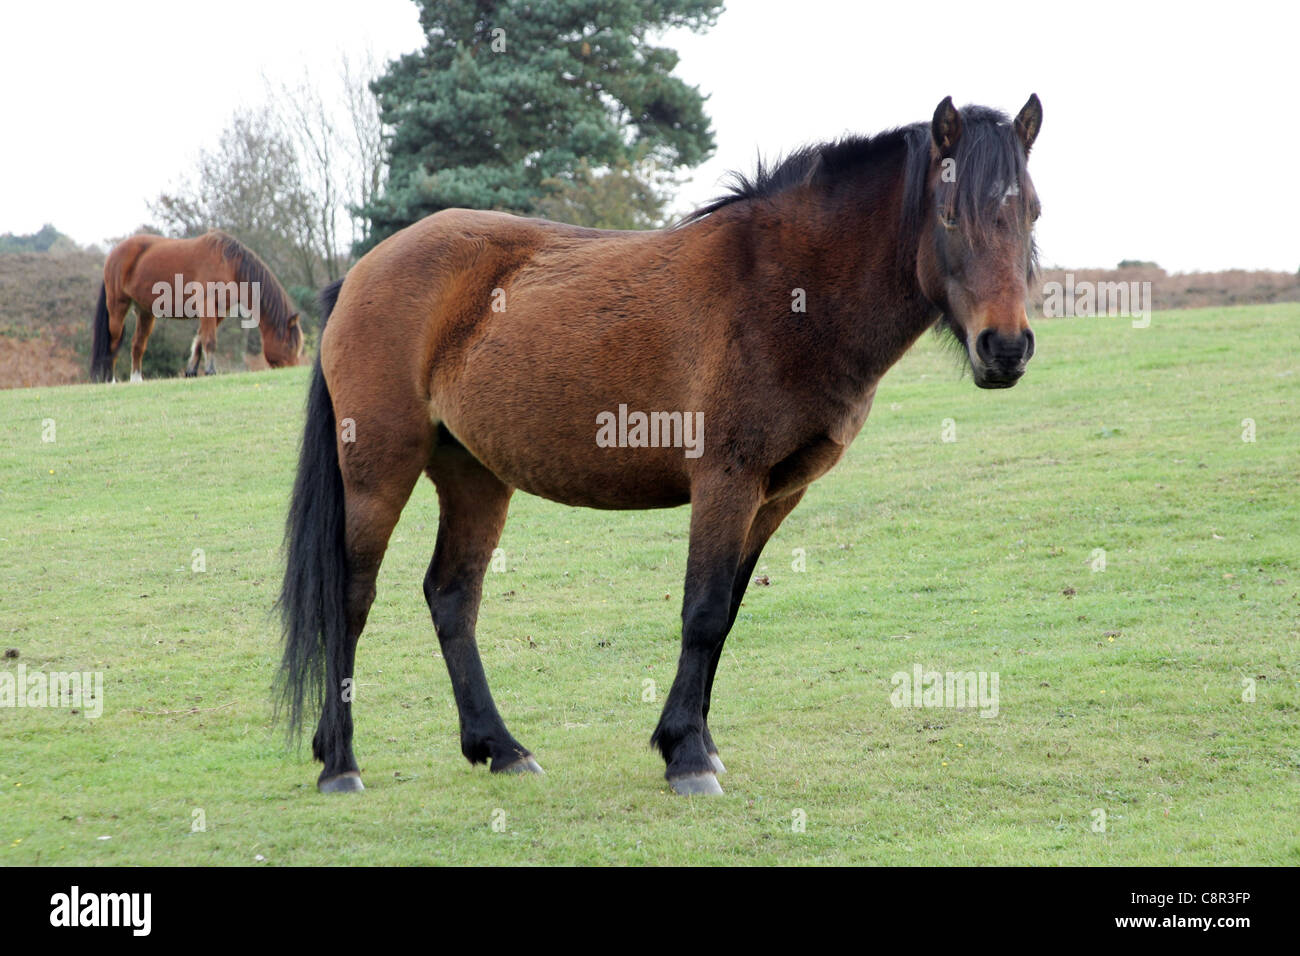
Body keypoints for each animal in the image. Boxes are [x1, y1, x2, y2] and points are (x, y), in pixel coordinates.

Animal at [90, 230, 305, 382]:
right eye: (289, 344)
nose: (294, 367)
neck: (229, 264)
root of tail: (113, 253)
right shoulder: (207, 306)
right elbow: (209, 340)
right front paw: (210, 371)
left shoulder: (219, 312)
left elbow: (200, 340)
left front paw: (191, 371)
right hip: (117, 306)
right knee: (113, 342)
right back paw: (110, 379)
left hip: (145, 312)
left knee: (137, 345)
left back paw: (136, 379)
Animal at [279, 98, 1040, 801]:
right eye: (950, 217)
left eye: (1031, 212)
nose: (1005, 348)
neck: (790, 289)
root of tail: (360, 274)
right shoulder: (726, 482)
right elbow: (701, 613)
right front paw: (688, 758)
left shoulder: (775, 496)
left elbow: (725, 615)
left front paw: (694, 740)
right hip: (379, 475)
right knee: (351, 599)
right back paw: (341, 763)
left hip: (476, 477)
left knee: (452, 596)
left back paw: (499, 748)